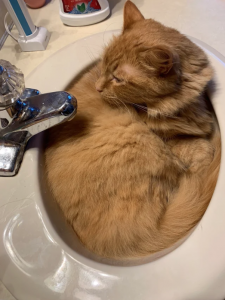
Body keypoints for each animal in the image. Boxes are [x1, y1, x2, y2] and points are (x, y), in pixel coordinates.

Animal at [44, 0, 221, 258]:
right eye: (104, 66)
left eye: (117, 78)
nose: (98, 88)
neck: (179, 105)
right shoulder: (177, 145)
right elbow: (203, 147)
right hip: (144, 143)